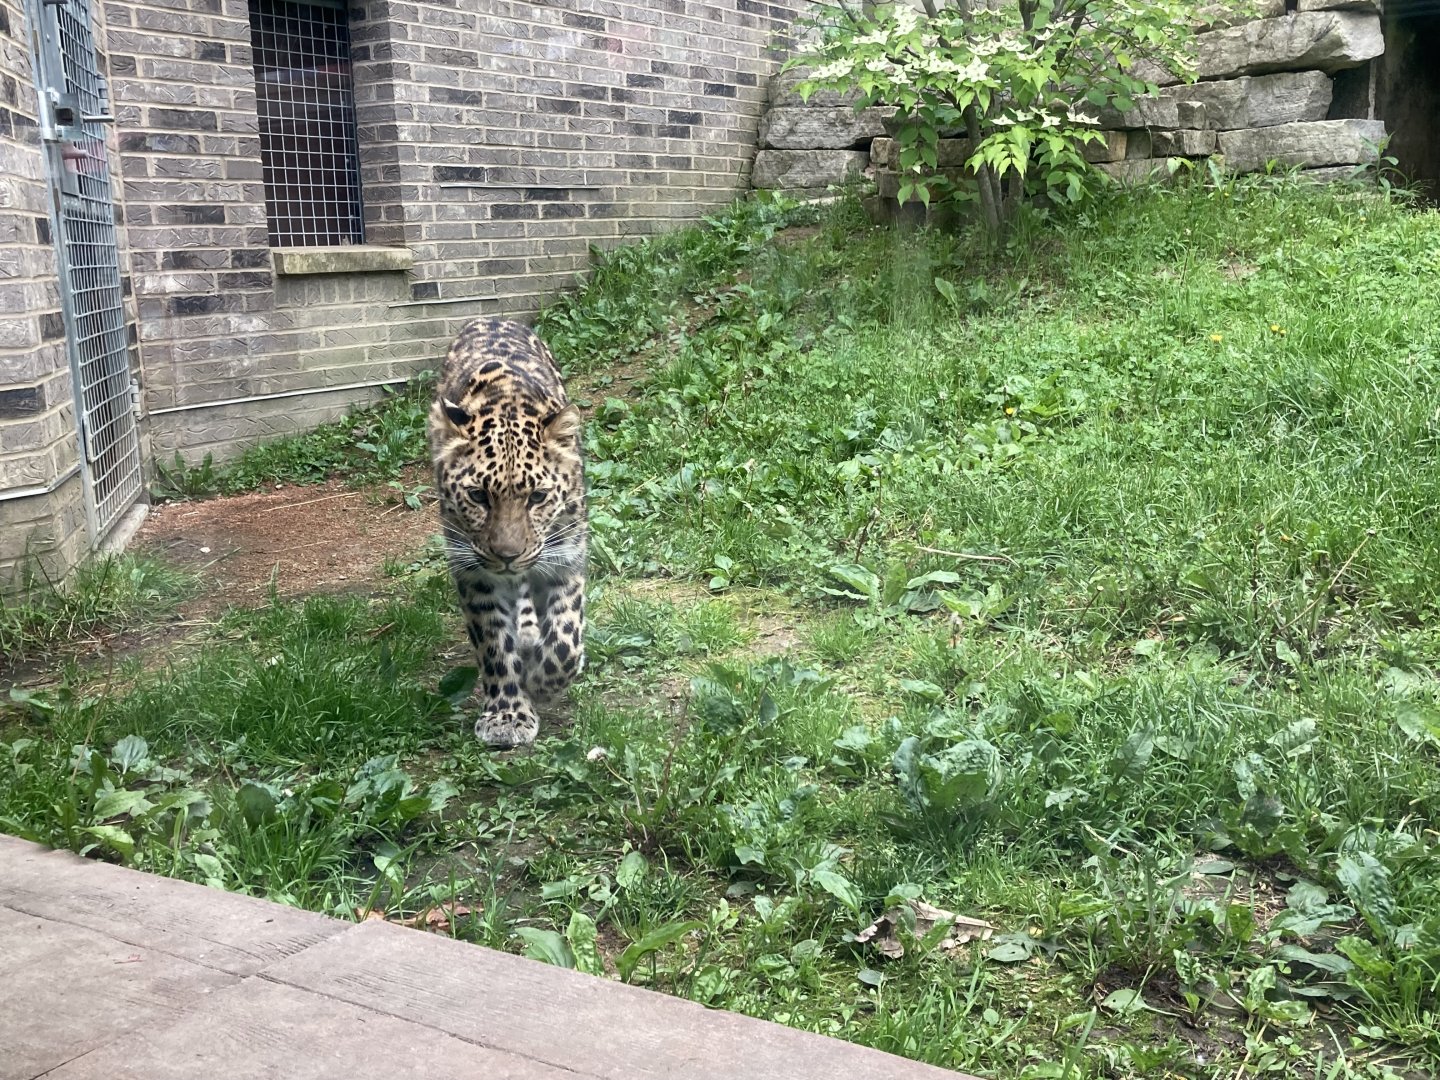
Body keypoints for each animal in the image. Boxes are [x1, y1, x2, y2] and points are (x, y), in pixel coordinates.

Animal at [428, 318, 587, 748]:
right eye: (478, 496)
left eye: (538, 497)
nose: (508, 555)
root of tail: (490, 318)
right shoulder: (473, 571)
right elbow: (494, 646)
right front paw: (507, 715)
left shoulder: (567, 557)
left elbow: (566, 638)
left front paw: (544, 682)